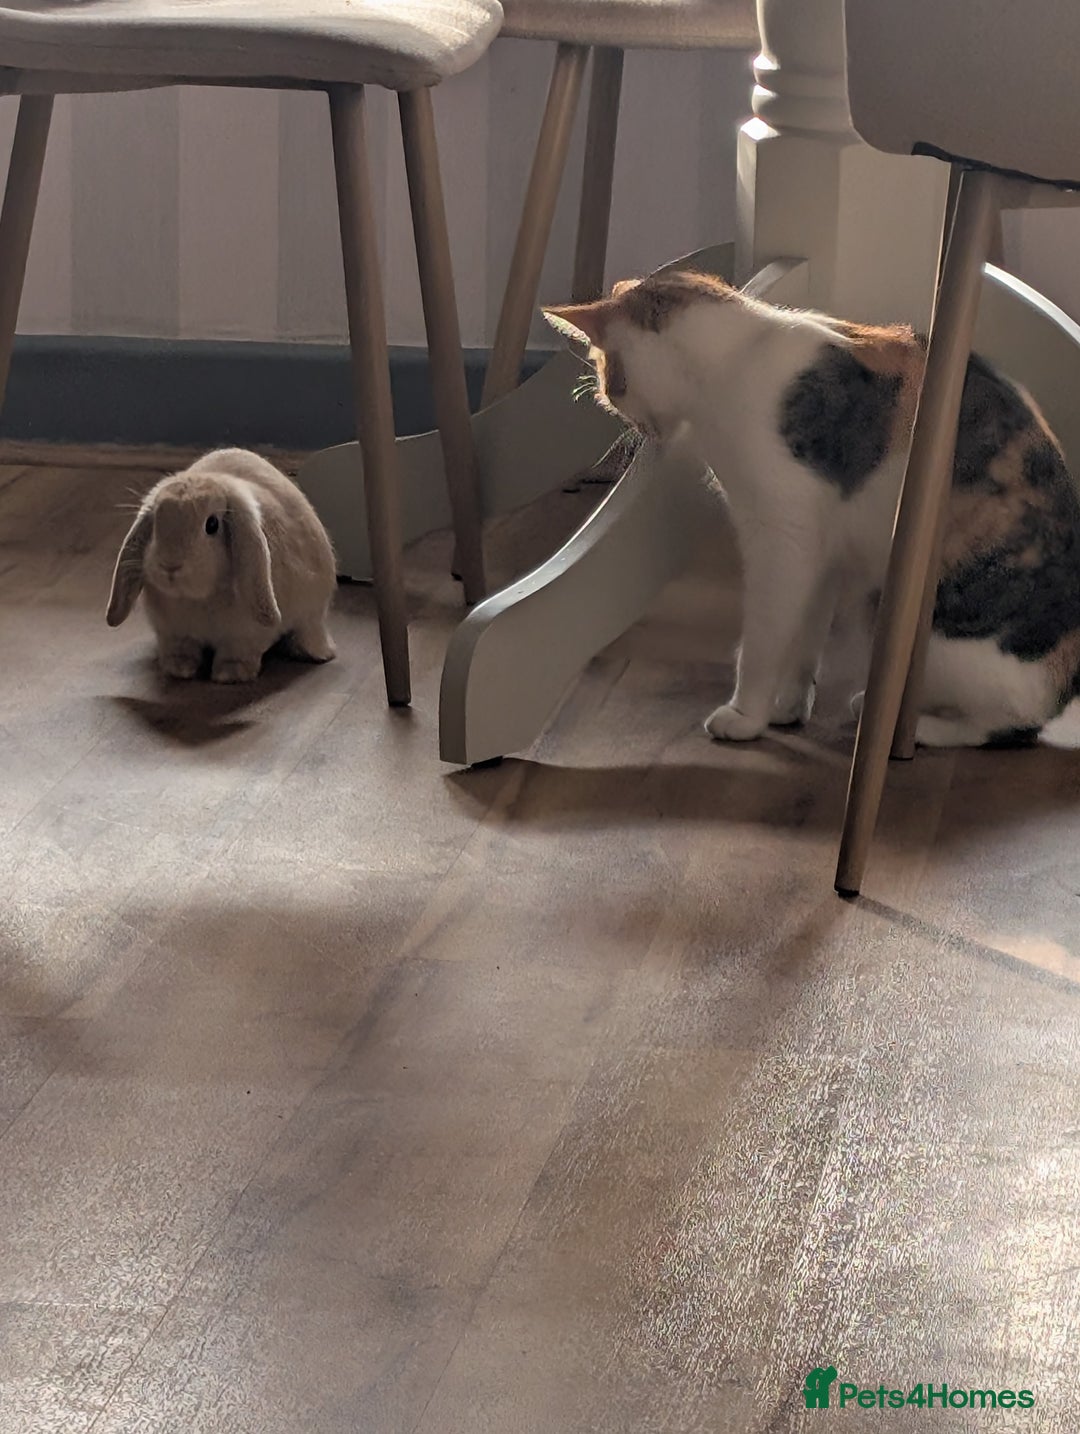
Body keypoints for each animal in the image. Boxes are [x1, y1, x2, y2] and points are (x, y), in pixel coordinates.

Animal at [106, 448, 337, 683]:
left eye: (212, 525)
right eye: (155, 526)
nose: (169, 565)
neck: (196, 598)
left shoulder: (245, 636)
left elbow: (237, 653)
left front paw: (229, 674)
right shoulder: (174, 633)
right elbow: (181, 650)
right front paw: (179, 669)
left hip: (310, 616)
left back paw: (314, 654)